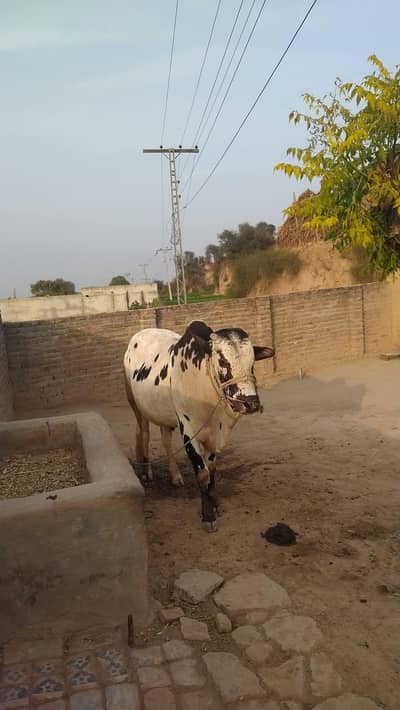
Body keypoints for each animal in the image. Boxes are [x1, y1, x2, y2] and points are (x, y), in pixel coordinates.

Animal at [123, 320, 274, 530]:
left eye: (252, 363)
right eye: (223, 361)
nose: (250, 402)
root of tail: (139, 335)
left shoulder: (212, 435)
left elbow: (212, 470)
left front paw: (214, 503)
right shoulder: (189, 430)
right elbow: (202, 473)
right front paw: (208, 515)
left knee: (165, 440)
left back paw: (175, 476)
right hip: (135, 404)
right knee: (143, 433)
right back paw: (146, 472)